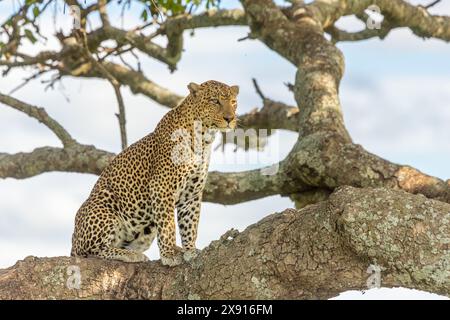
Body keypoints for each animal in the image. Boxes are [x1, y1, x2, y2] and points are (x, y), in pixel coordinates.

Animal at [70, 81, 239, 266]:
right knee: (92, 251)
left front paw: (190, 250)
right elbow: (168, 225)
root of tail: (73, 243)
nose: (230, 119)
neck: (203, 138)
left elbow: (190, 224)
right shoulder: (162, 186)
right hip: (103, 206)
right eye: (215, 101)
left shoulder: (192, 193)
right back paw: (129, 255)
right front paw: (169, 254)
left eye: (233, 102)